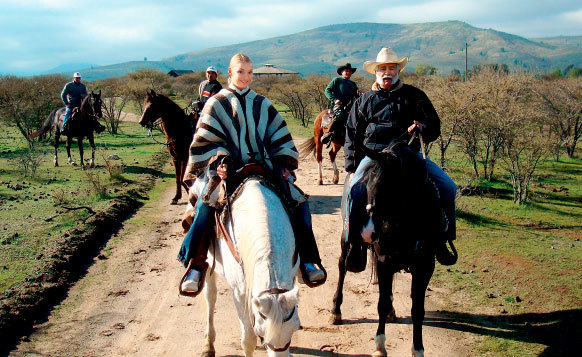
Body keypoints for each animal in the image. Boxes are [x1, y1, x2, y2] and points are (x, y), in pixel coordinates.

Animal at [198, 177, 304, 354]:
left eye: (294, 328)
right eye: (261, 332)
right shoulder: (239, 293)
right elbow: (248, 340)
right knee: (210, 296)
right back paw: (208, 345)